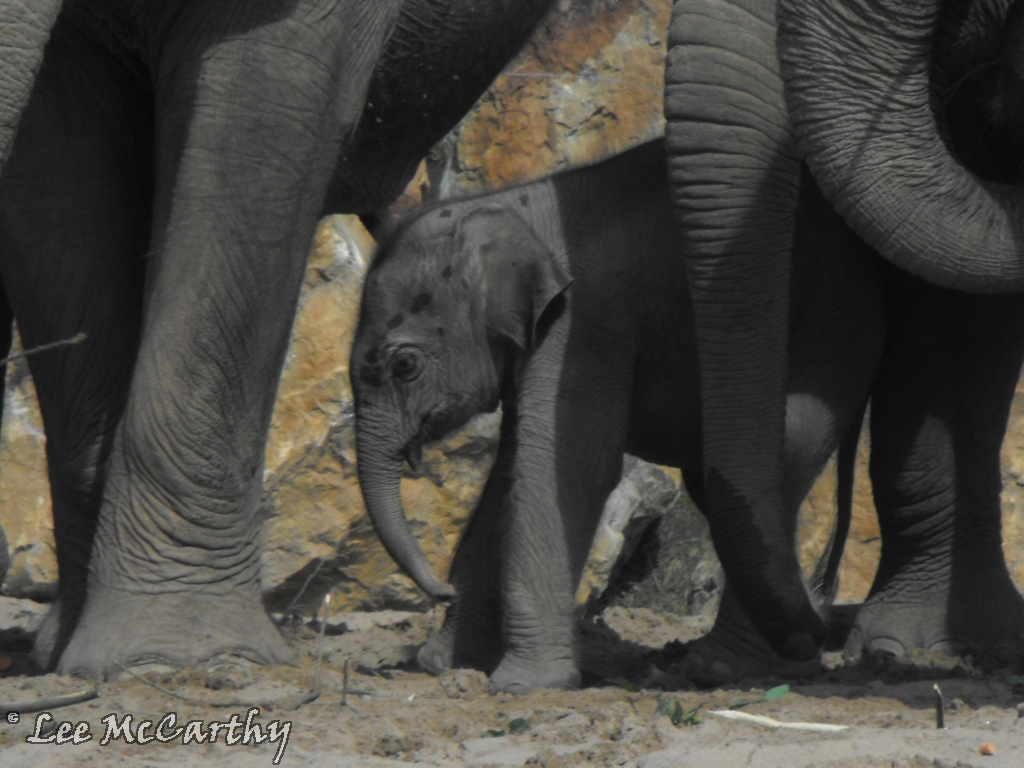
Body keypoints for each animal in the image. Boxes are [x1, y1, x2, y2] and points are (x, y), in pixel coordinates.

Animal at [350, 138, 886, 692]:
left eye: (404, 366)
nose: (441, 590)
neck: (514, 206)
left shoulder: (585, 324)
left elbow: (566, 466)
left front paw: (524, 684)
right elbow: (510, 472)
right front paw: (446, 664)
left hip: (833, 324)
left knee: (789, 450)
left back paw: (727, 666)